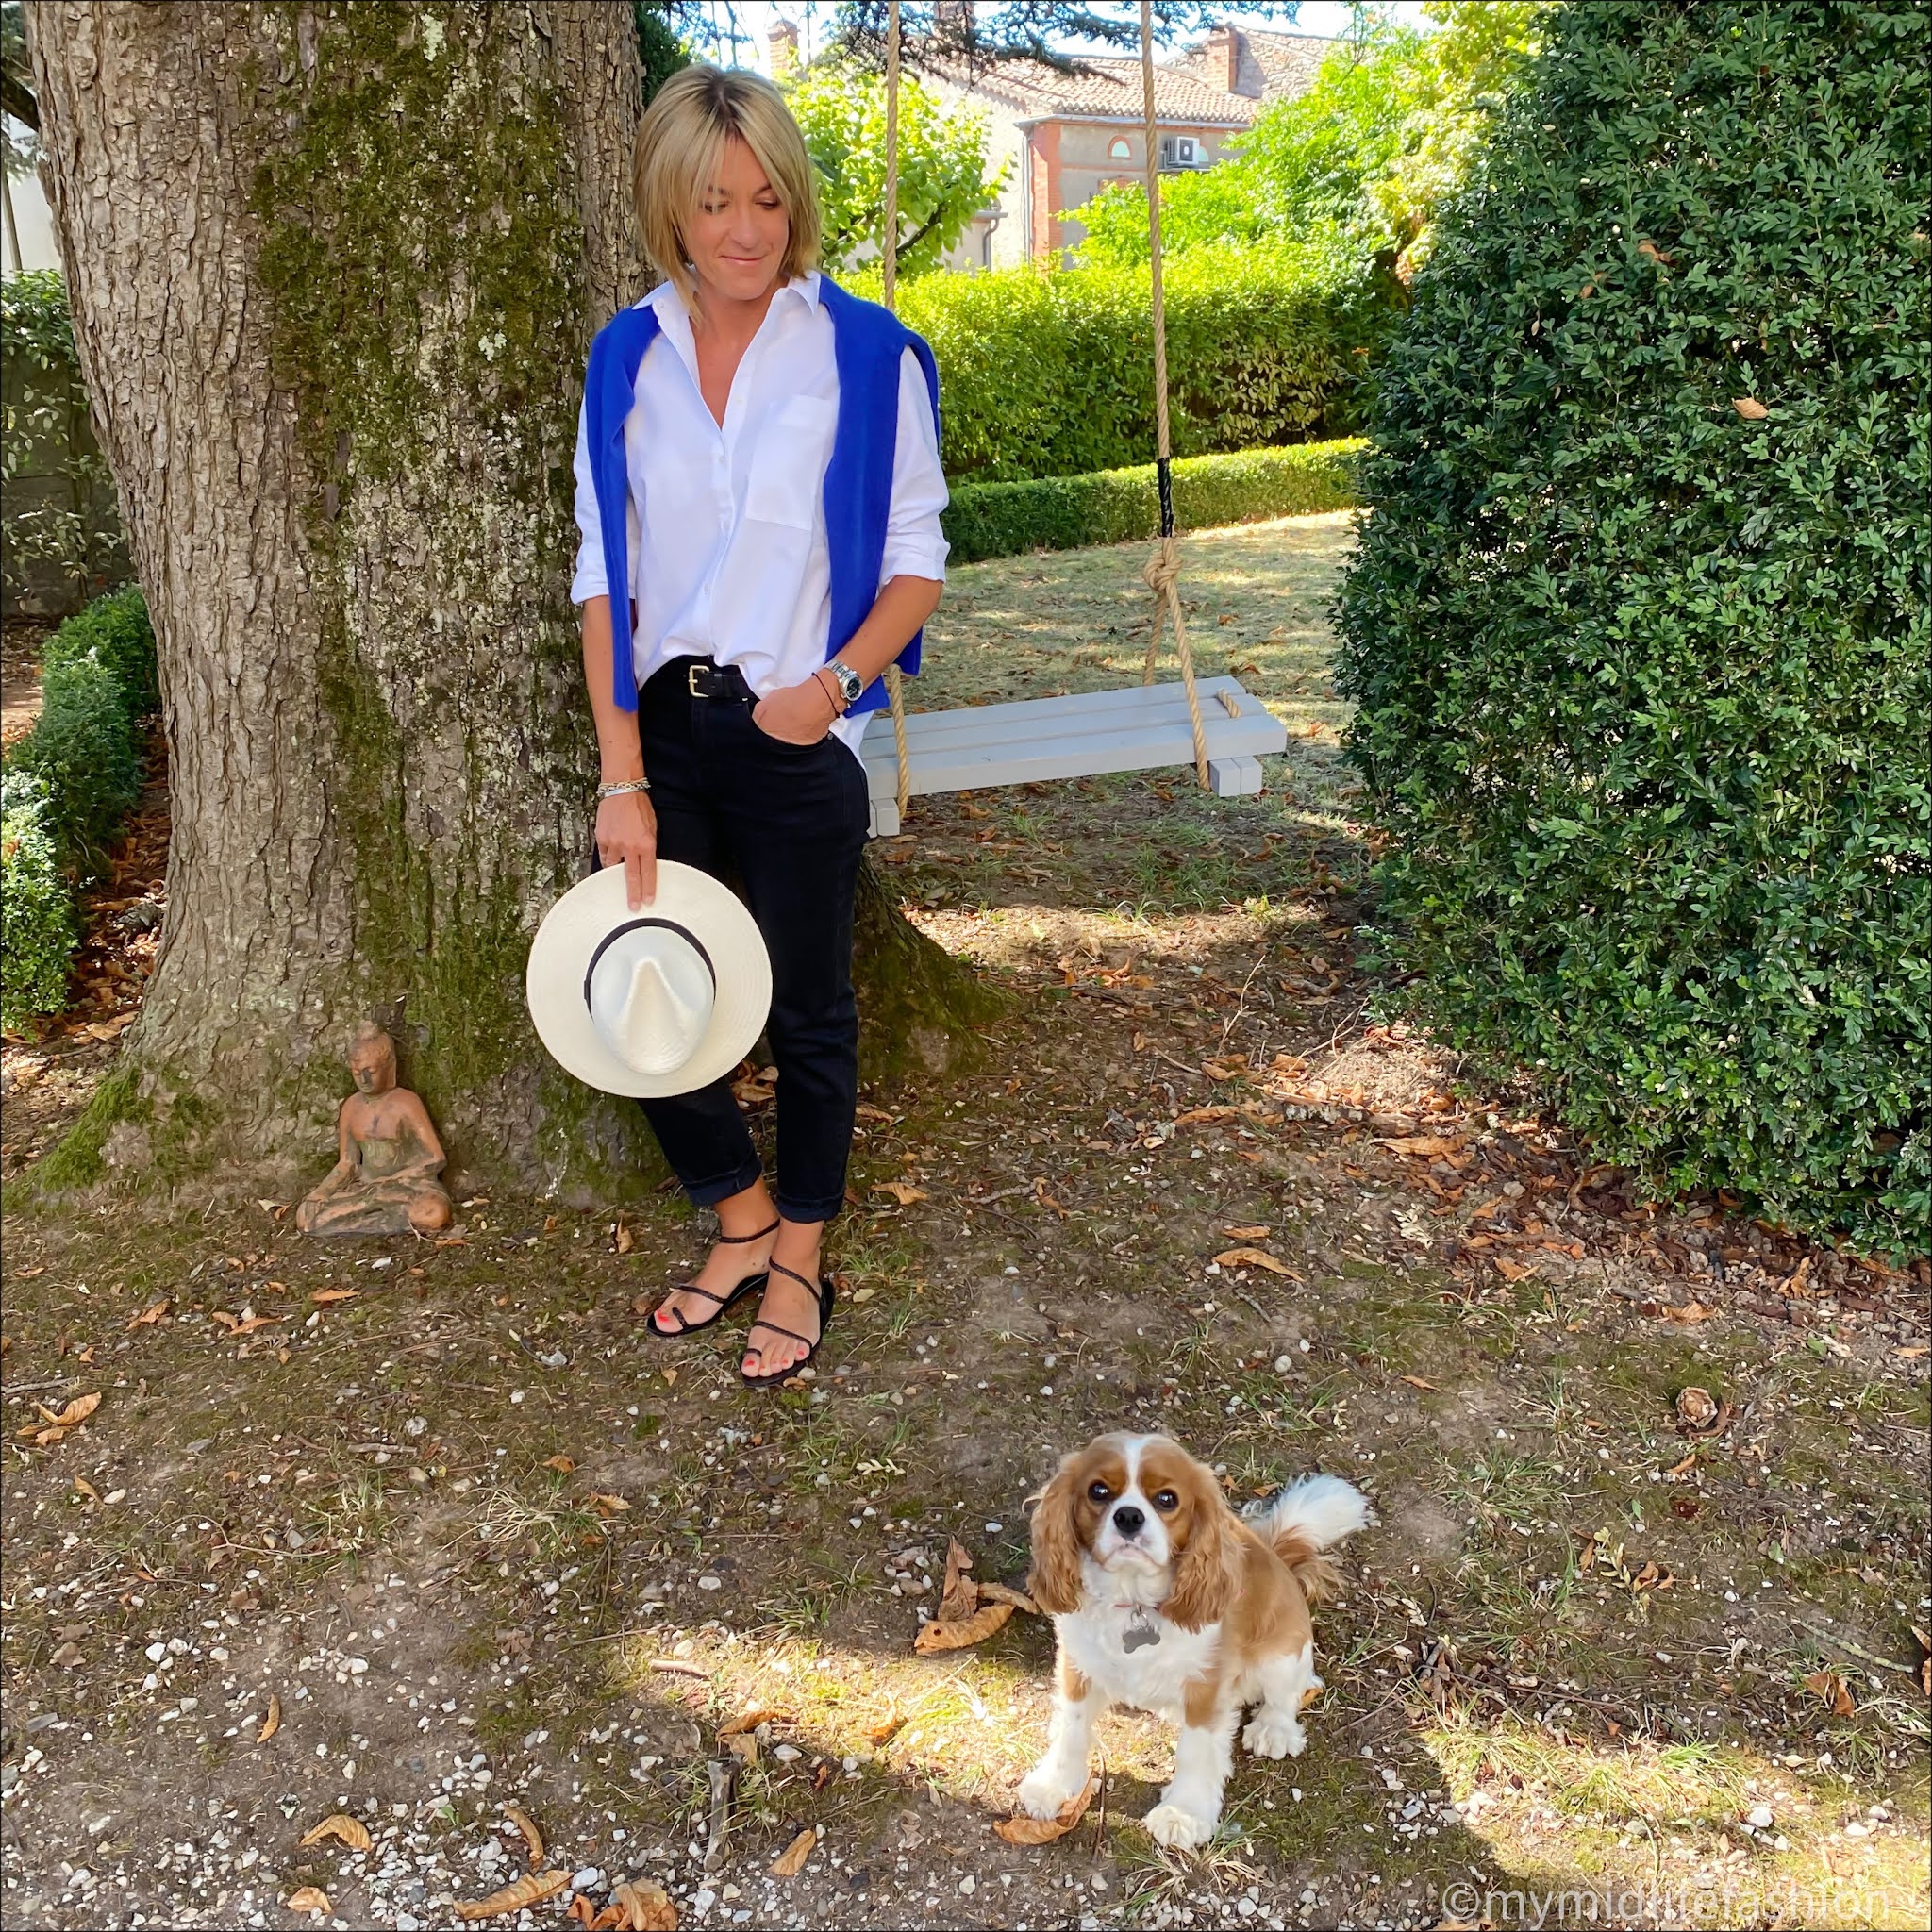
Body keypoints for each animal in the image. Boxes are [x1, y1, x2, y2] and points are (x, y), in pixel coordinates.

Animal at [1020, 1437, 1367, 1855]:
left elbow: (1197, 1751)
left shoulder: (1207, 1685)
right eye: (1098, 1491)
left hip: (1281, 1651)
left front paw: (1183, 1813)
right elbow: (1069, 1729)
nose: (1129, 1517)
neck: (1134, 1600)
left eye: (1167, 1499)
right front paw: (1054, 1785)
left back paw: (1274, 1729)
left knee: (1290, 1690)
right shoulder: (1078, 1666)